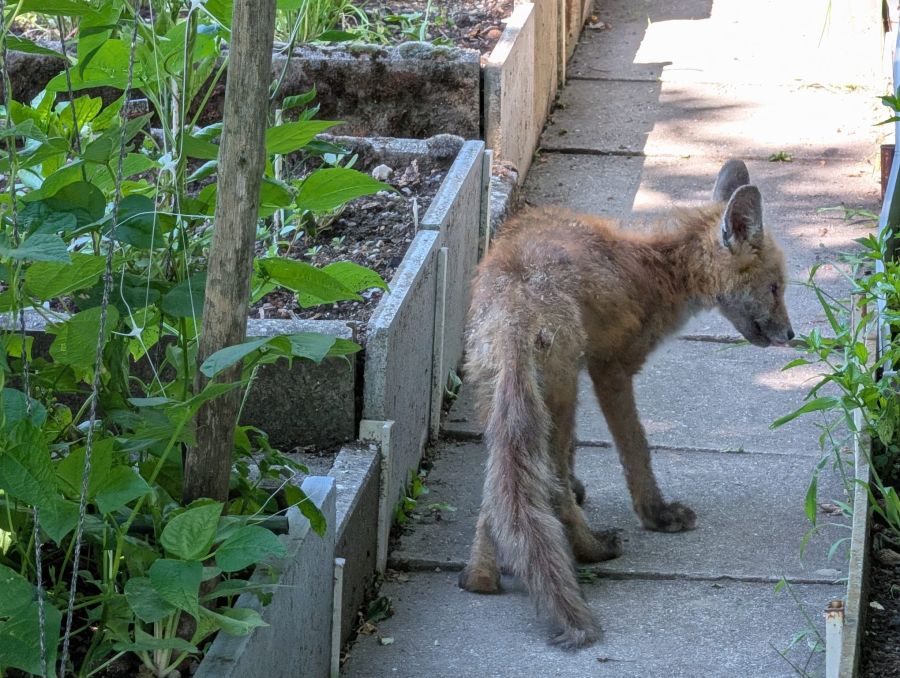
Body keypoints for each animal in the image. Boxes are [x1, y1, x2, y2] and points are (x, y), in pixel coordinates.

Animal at [457, 160, 794, 649]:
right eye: (774, 288)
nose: (792, 335)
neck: (659, 270)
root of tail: (515, 300)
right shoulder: (611, 370)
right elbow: (636, 451)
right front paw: (656, 514)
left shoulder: (582, 373)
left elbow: (560, 463)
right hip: (557, 395)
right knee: (551, 489)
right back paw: (592, 550)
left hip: (508, 400)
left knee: (497, 493)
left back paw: (480, 576)